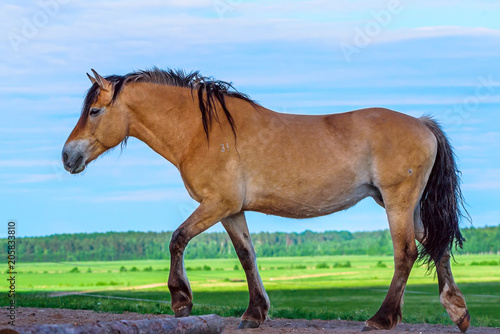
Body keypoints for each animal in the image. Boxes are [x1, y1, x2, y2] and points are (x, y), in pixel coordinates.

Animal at [61, 68, 468, 332]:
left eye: (94, 111)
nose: (67, 156)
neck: (202, 132)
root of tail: (422, 124)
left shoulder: (217, 205)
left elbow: (178, 238)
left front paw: (181, 300)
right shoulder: (232, 211)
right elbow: (247, 256)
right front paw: (255, 313)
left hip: (398, 203)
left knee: (406, 254)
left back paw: (381, 319)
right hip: (405, 206)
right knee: (435, 243)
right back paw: (458, 312)